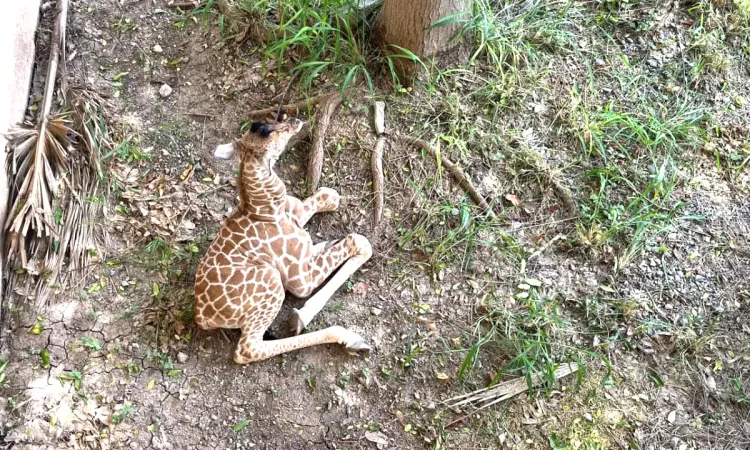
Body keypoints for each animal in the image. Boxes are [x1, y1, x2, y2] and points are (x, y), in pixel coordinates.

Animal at [194, 116, 373, 364]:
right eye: (267, 131)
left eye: (261, 124)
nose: (295, 120)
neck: (267, 208)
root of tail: (203, 318)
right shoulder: (301, 281)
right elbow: (361, 241)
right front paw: (301, 316)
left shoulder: (296, 213)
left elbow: (330, 195)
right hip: (272, 282)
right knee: (248, 349)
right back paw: (348, 337)